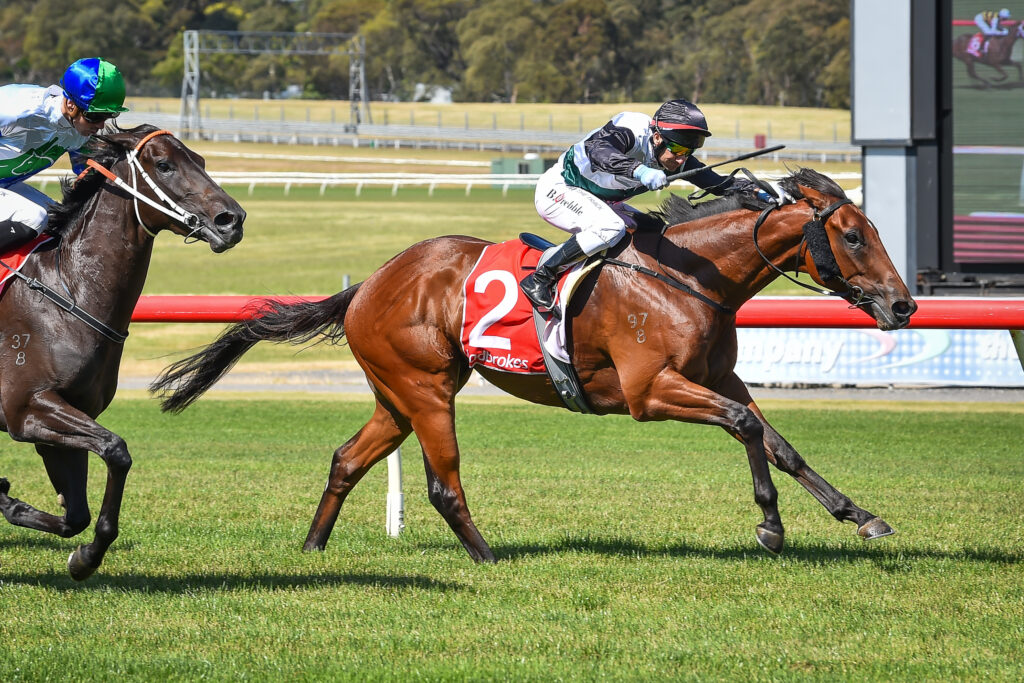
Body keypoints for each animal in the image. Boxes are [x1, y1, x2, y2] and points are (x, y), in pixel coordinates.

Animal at [0, 124, 245, 580]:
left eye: (201, 160)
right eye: (164, 165)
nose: (231, 220)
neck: (69, 290)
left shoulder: (64, 419)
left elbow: (75, 516)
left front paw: (77, 553)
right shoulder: (26, 408)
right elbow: (117, 450)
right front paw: (89, 555)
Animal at [152, 168, 915, 562]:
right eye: (853, 235)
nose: (903, 304)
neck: (690, 275)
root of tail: (367, 283)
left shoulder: (714, 375)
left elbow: (772, 438)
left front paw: (857, 513)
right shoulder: (650, 391)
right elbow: (744, 425)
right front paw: (772, 525)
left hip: (397, 395)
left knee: (346, 458)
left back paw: (313, 547)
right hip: (426, 389)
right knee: (443, 484)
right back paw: (488, 557)